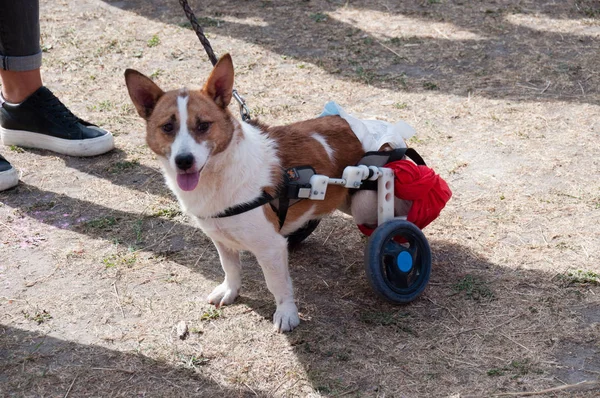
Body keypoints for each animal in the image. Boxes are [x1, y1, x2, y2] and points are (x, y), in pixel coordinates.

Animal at [125, 53, 366, 332]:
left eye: (203, 125)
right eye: (167, 127)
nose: (183, 161)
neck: (220, 176)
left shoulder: (271, 247)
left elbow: (277, 284)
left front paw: (286, 312)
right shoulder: (221, 238)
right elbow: (230, 268)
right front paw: (230, 291)